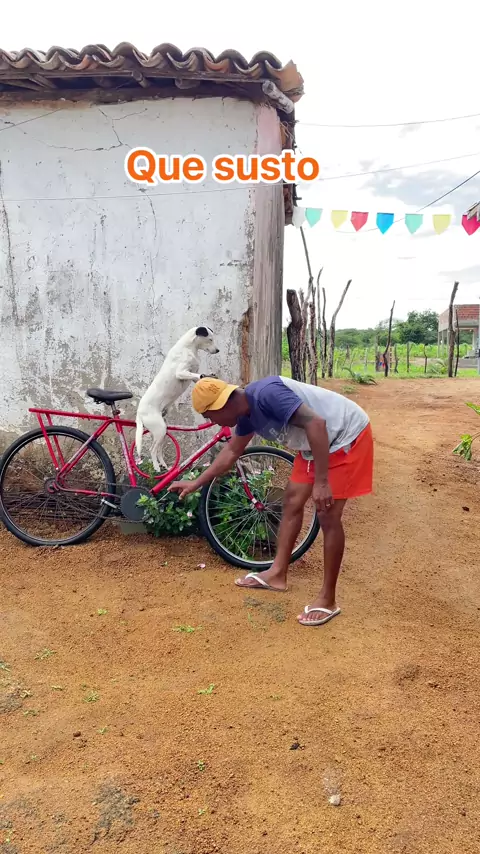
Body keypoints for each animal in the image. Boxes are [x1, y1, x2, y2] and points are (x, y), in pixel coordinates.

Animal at [135, 326, 219, 471]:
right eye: (210, 339)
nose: (217, 350)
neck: (188, 347)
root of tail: (139, 413)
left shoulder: (192, 375)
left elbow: (198, 377)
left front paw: (209, 376)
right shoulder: (181, 372)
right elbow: (196, 375)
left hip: (163, 430)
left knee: (159, 450)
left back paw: (164, 465)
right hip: (159, 429)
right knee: (152, 450)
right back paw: (157, 468)